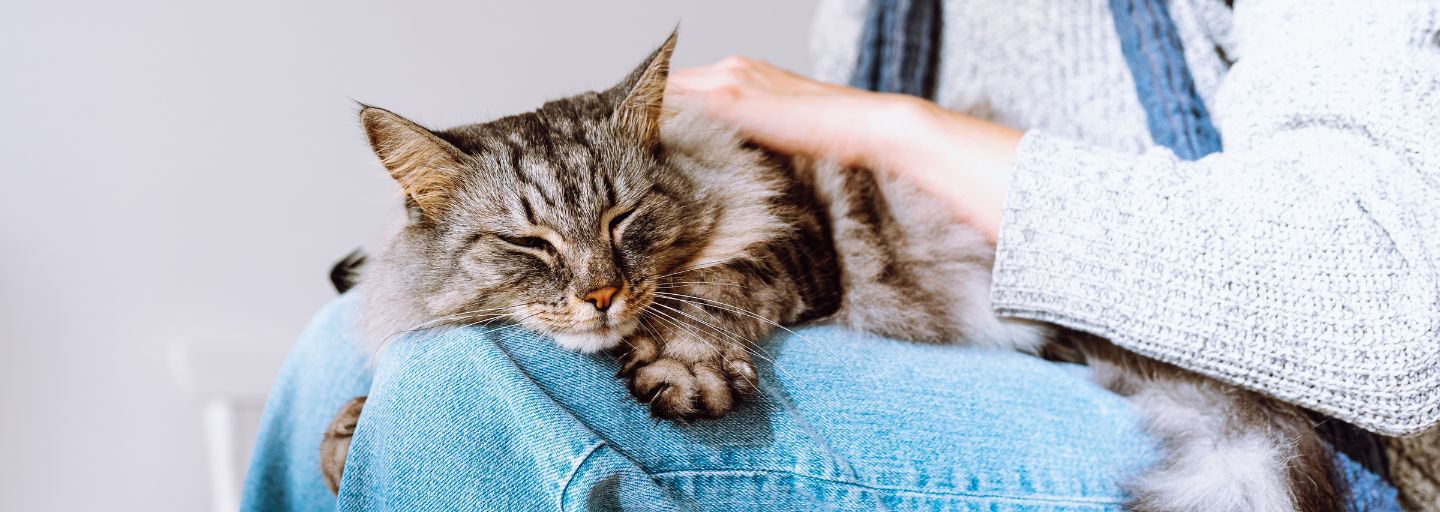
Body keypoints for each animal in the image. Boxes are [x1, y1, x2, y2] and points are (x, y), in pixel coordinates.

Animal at [321, 33, 1342, 512]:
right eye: (529, 245)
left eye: (623, 218)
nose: (602, 294)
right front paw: (346, 431)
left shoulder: (794, 231)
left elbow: (715, 293)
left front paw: (682, 365)